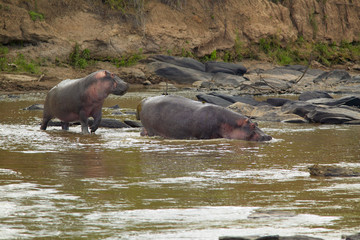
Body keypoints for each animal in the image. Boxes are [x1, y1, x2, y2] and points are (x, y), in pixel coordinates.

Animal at [136, 94, 272, 142]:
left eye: (257, 124)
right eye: (253, 125)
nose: (268, 136)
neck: (231, 123)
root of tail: (144, 100)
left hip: (145, 128)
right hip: (151, 129)